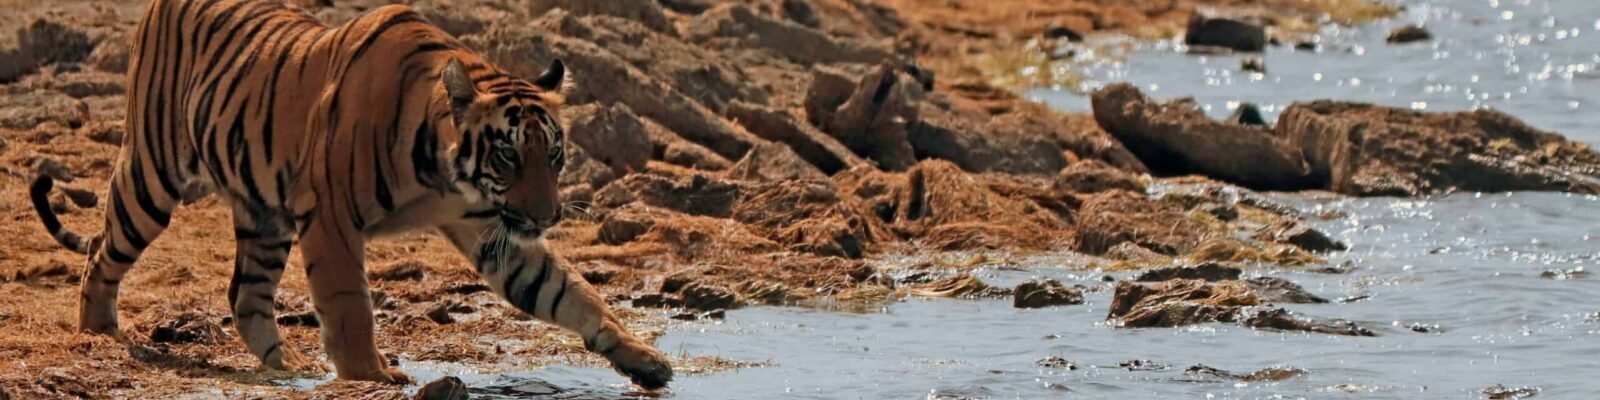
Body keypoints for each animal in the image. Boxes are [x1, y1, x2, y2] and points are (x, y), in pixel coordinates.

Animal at [27, 0, 672, 389]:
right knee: (101, 251)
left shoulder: (495, 230)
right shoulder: (330, 215)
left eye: (554, 153)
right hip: (153, 173)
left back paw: (286, 363)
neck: (446, 174)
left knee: (245, 293)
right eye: (509, 154)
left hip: (263, 216)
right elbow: (348, 302)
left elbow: (571, 292)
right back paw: (98, 330)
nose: (547, 215)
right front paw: (371, 373)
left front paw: (643, 359)